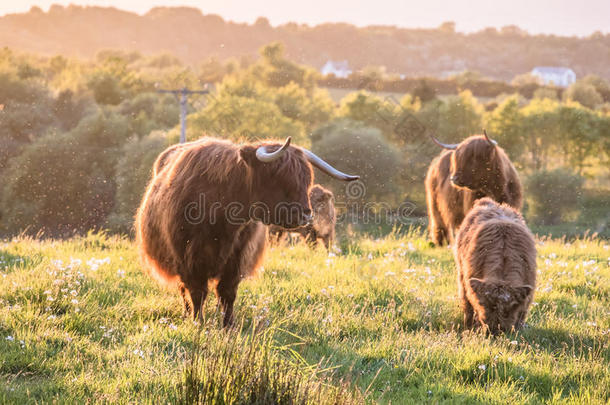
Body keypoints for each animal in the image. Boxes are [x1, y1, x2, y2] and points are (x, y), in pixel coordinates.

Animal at [135, 136, 358, 326]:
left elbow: (227, 292)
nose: (305, 215)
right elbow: (197, 292)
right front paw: (198, 323)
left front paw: (228, 325)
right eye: (278, 177)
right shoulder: (188, 257)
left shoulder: (238, 256)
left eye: (306, 179)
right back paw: (188, 313)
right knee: (184, 290)